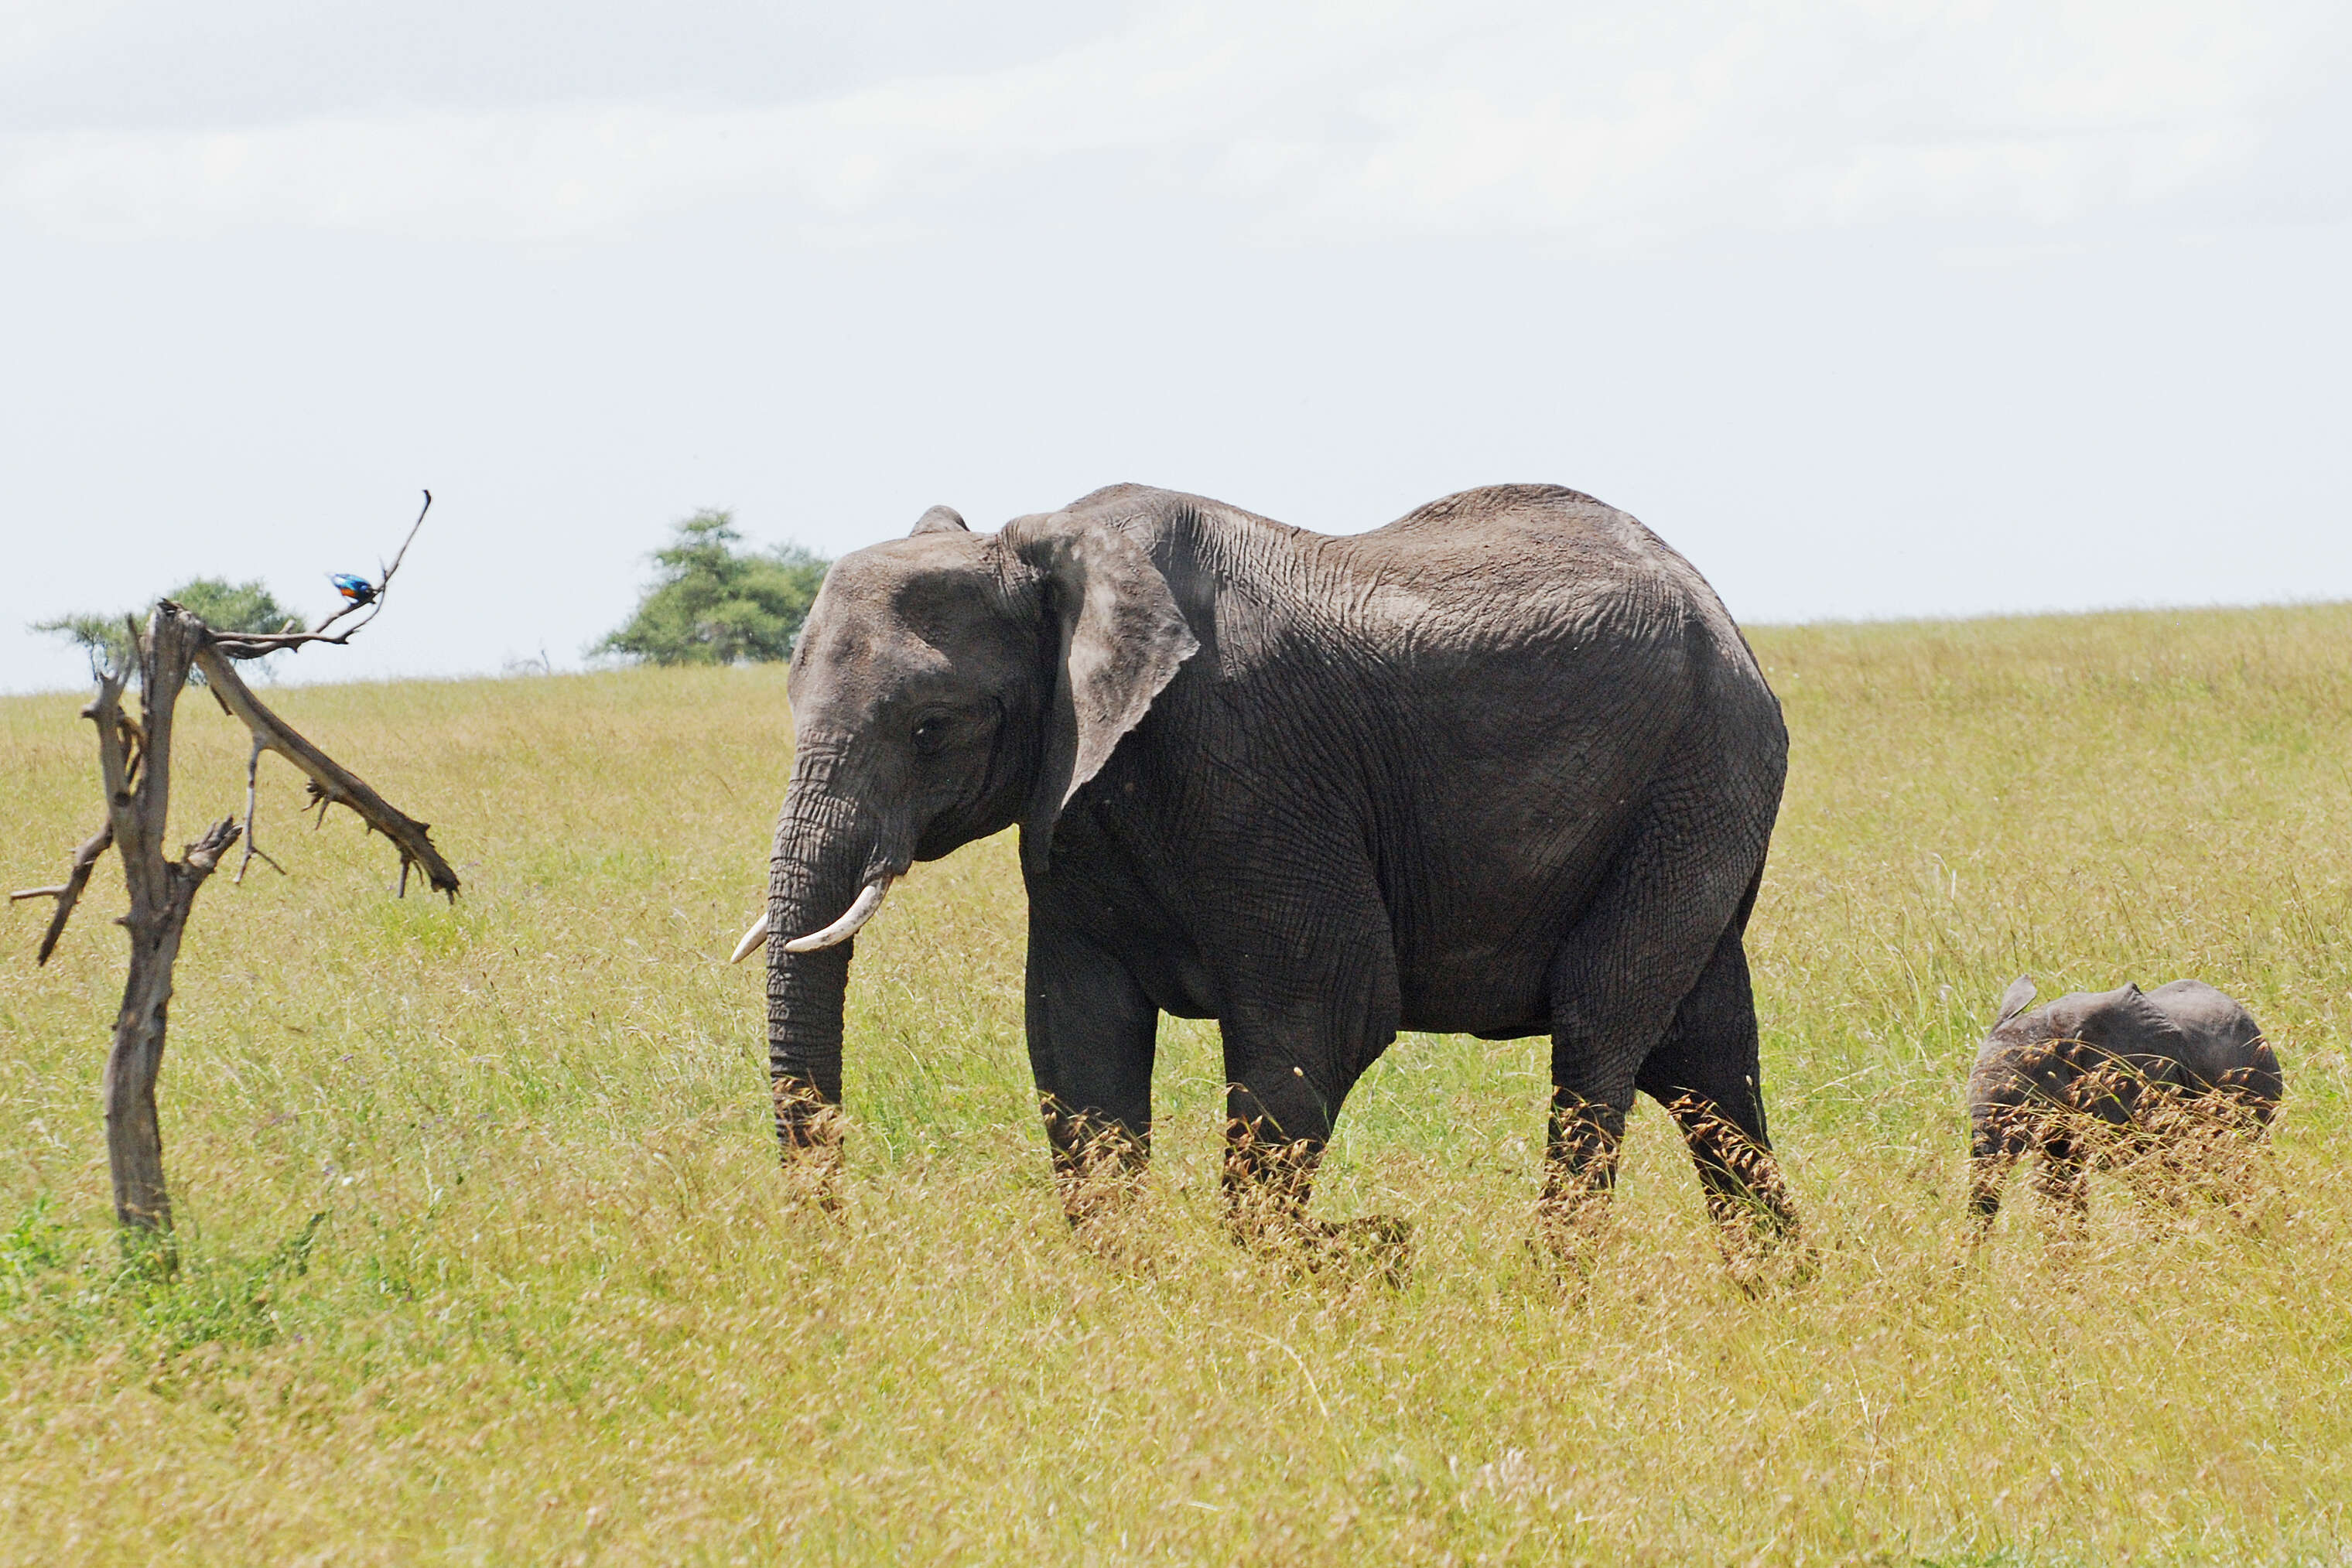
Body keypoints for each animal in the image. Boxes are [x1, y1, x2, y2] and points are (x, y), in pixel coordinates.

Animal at [733, 484, 1796, 1259]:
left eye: (929, 727)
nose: (829, 1249)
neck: (1045, 551)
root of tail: (1722, 613)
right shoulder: (1068, 801)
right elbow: (1077, 1035)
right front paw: (1122, 1292)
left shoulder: (1252, 762)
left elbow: (1321, 1015)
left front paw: (1307, 1267)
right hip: (1697, 799)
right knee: (1702, 1060)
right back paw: (1774, 1289)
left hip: (1695, 775)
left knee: (1599, 1030)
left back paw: (1556, 1287)